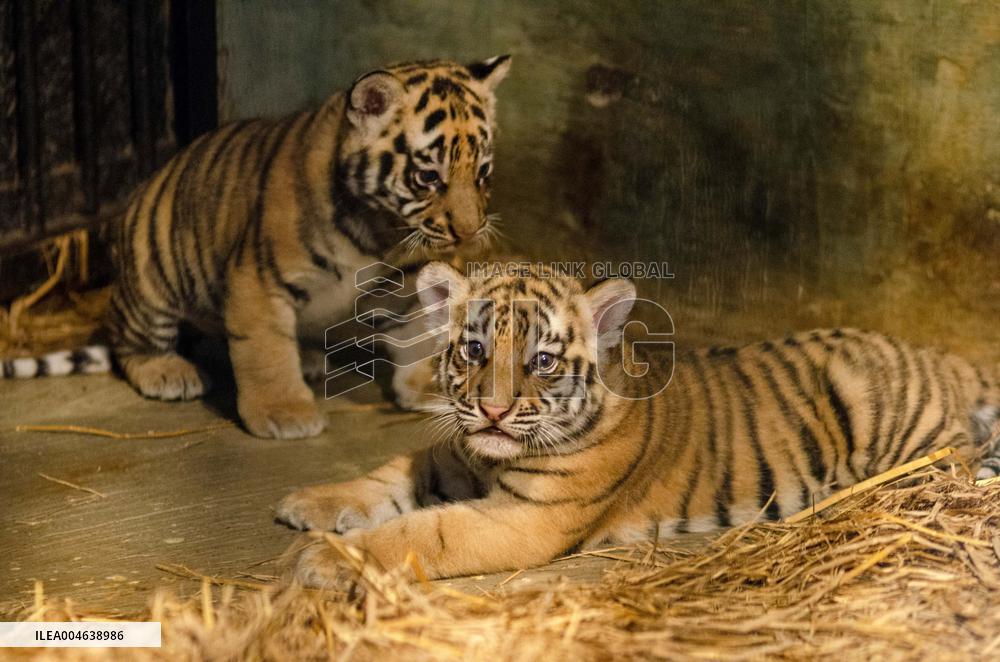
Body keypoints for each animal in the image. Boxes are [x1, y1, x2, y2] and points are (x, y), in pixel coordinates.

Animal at [1, 56, 511, 439]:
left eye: (484, 173)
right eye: (428, 177)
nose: (469, 232)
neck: (379, 228)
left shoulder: (405, 277)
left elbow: (417, 333)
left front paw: (427, 388)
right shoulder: (259, 280)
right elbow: (264, 352)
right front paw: (284, 414)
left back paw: (308, 359)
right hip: (151, 277)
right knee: (134, 341)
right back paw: (167, 371)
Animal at [277, 261, 1000, 585]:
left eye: (542, 361)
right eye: (475, 350)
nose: (493, 410)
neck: (489, 458)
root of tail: (942, 356)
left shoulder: (521, 520)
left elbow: (420, 533)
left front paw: (325, 555)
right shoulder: (450, 455)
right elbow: (385, 476)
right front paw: (307, 502)